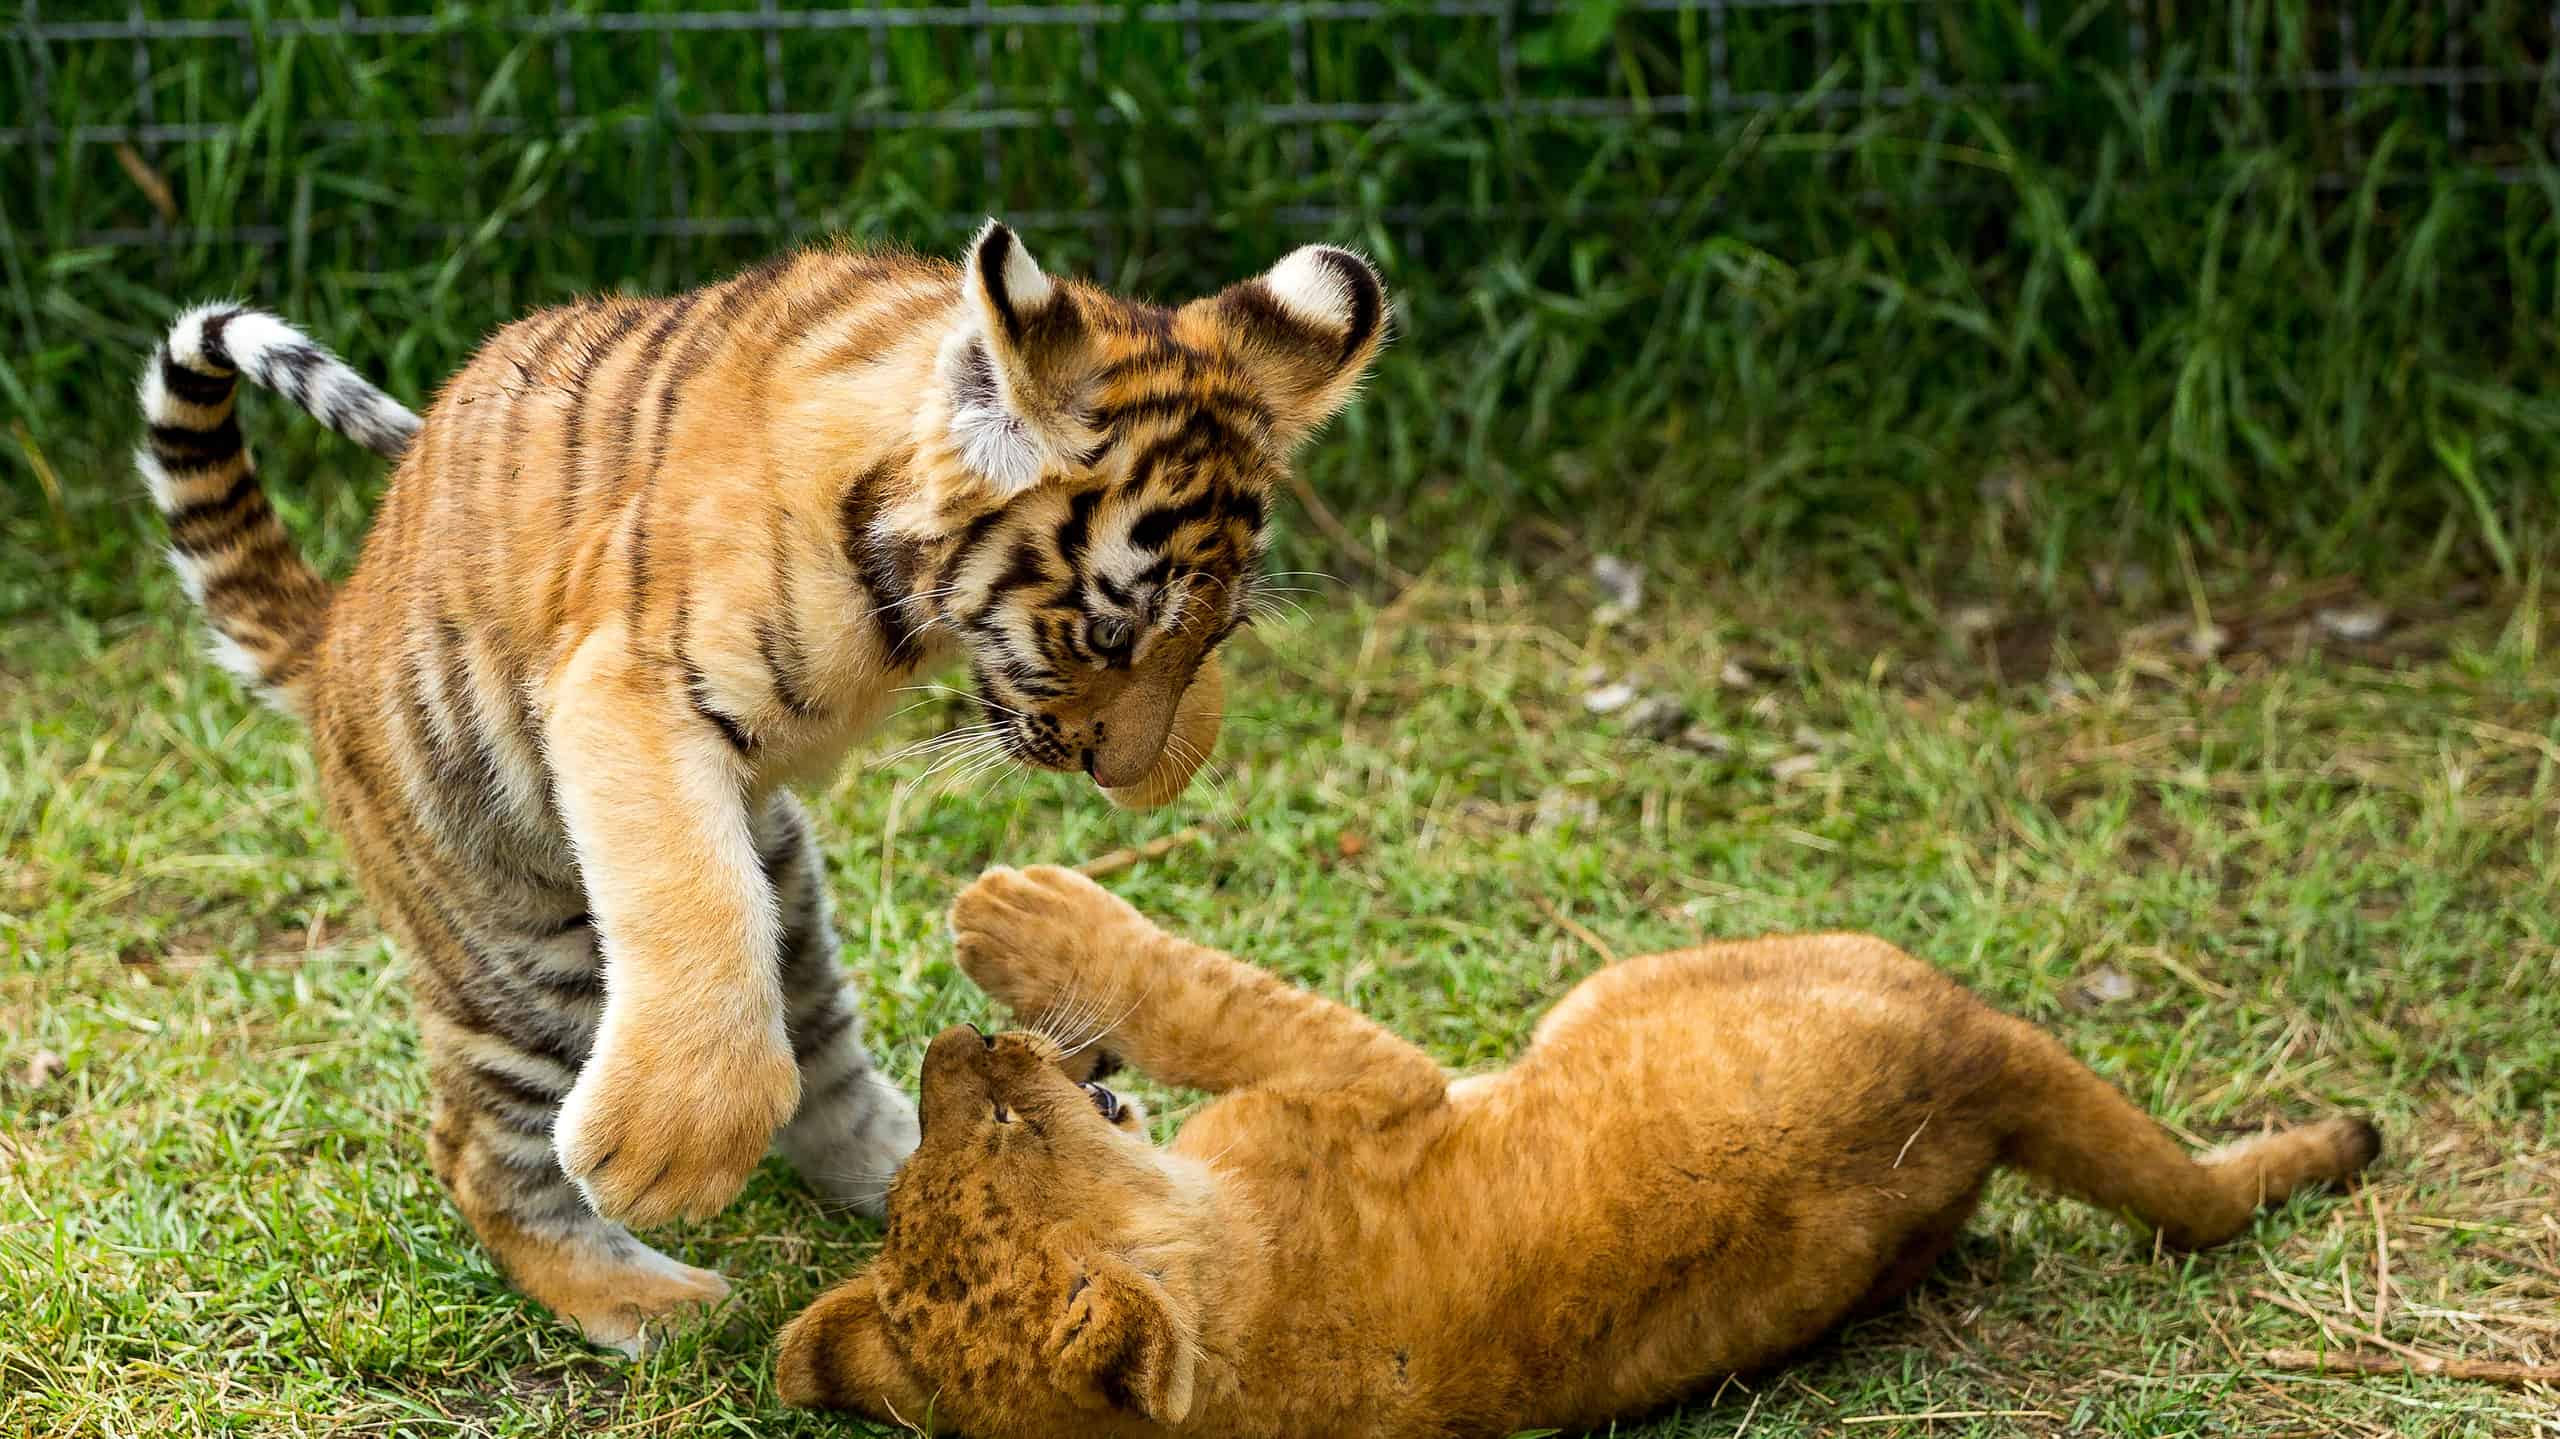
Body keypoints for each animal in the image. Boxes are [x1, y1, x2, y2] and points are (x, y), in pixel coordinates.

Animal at [133, 222, 1388, 1354]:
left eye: (1213, 635)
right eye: (1107, 633)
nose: (1127, 778)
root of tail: (328, 636)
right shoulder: (632, 685)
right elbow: (688, 889)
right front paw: (666, 1148)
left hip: (788, 892)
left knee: (822, 1058)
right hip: (517, 938)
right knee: (481, 1150)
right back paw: (643, 1296)